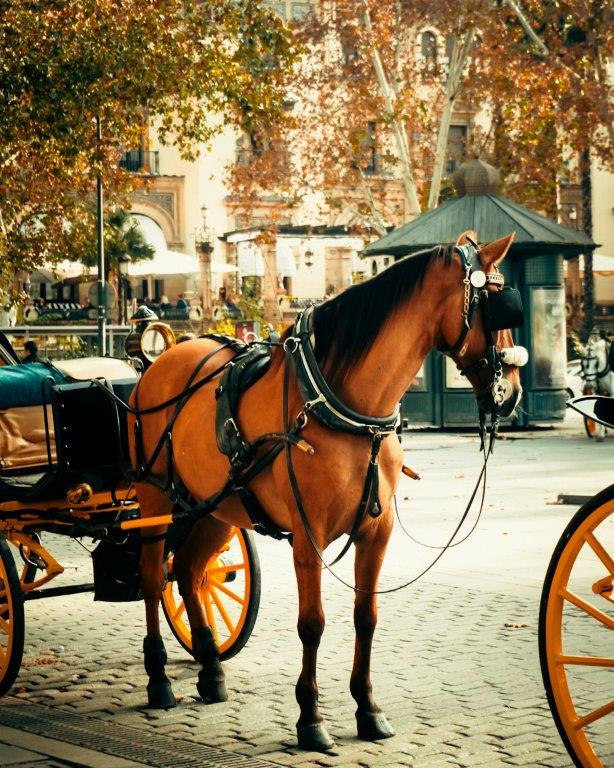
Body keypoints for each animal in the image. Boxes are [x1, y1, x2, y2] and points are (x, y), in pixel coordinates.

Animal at [128, 230, 524, 752]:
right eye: (499, 307)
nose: (513, 392)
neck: (345, 405)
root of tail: (159, 359)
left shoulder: (377, 532)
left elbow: (366, 617)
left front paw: (367, 707)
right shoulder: (307, 536)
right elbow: (312, 623)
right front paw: (310, 717)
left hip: (216, 508)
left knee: (191, 572)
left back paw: (211, 671)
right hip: (154, 497)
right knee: (154, 577)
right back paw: (158, 679)